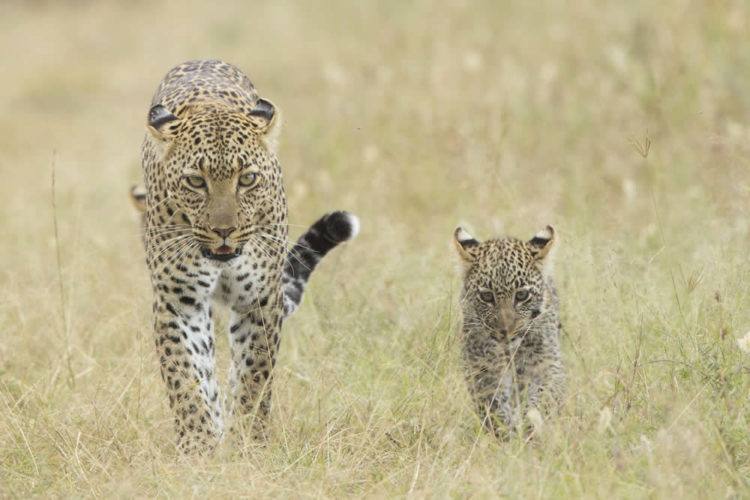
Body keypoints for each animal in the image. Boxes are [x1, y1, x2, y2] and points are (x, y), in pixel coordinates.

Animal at [138, 59, 362, 454]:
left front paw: (247, 442)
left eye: (247, 179)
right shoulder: (178, 301)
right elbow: (186, 377)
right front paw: (198, 446)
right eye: (196, 181)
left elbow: (254, 375)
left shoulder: (260, 299)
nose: (225, 230)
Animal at [456, 224, 568, 438]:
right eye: (487, 296)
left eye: (522, 295)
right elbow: (493, 404)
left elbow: (540, 398)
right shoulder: (483, 369)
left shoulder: (545, 364)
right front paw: (506, 430)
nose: (506, 331)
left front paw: (529, 424)